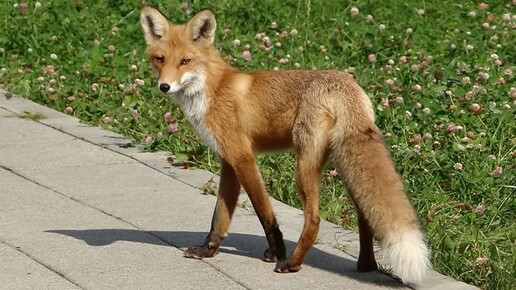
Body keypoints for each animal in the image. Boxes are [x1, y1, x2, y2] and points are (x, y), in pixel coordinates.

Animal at [140, 5, 432, 284]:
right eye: (160, 59)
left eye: (185, 61)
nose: (164, 86)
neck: (212, 89)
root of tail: (344, 84)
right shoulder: (228, 161)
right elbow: (219, 217)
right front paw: (207, 251)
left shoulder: (242, 157)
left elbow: (264, 212)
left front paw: (276, 252)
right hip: (346, 166)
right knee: (365, 214)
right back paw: (366, 265)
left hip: (304, 167)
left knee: (314, 219)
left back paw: (292, 263)